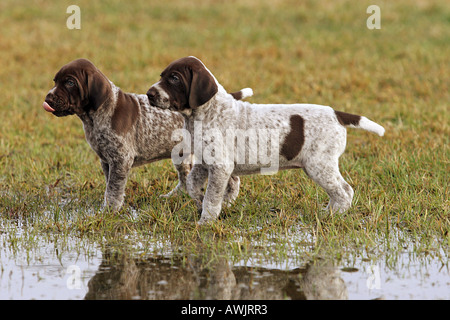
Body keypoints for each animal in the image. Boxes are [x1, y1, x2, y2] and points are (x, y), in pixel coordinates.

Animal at [42, 58, 253, 211]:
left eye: (70, 82)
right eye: (55, 81)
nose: (48, 99)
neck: (95, 117)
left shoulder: (121, 160)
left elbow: (113, 190)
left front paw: (109, 211)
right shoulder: (106, 161)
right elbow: (109, 186)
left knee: (232, 180)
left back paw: (227, 201)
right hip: (182, 155)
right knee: (186, 178)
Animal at [147, 55, 384, 225]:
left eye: (174, 78)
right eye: (162, 76)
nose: (149, 94)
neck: (206, 113)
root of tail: (337, 114)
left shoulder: (220, 167)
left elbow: (212, 198)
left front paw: (205, 222)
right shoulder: (204, 163)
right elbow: (193, 185)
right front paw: (201, 202)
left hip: (319, 165)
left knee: (344, 192)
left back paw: (331, 217)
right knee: (340, 191)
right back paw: (328, 212)